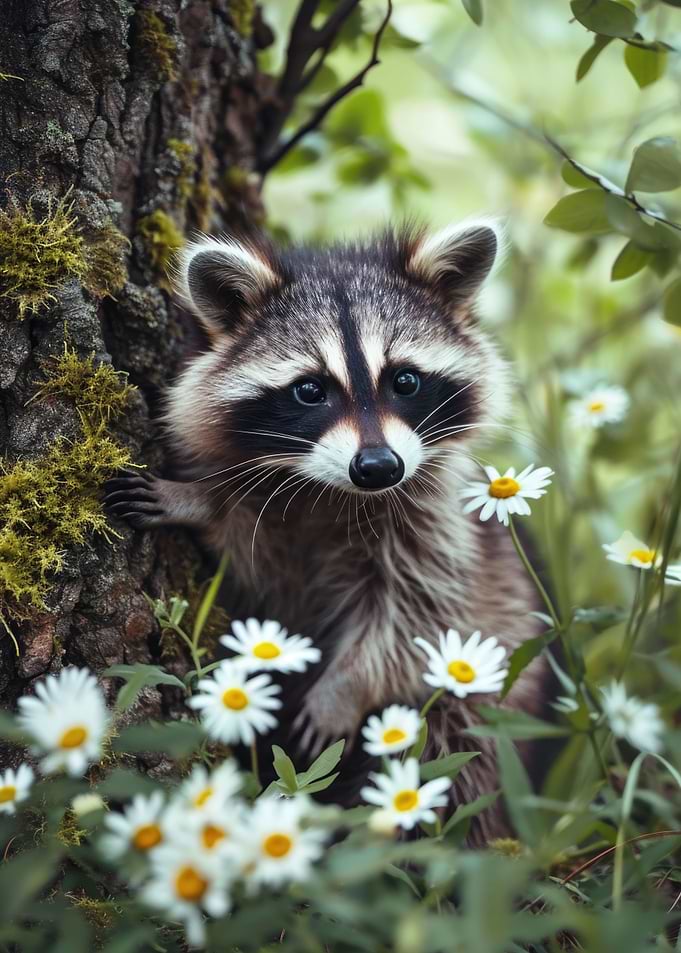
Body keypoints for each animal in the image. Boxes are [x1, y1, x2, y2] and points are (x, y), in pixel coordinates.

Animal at [105, 221, 548, 841]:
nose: (379, 467)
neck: (336, 493)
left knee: (456, 761)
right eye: (310, 390)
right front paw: (203, 503)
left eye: (405, 380)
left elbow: (415, 614)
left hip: (488, 700)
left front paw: (345, 688)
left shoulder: (435, 524)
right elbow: (258, 557)